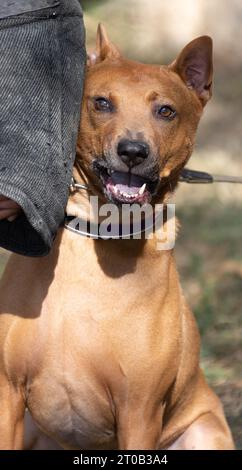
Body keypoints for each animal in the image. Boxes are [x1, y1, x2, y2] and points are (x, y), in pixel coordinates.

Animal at [0, 26, 234, 452]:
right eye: (102, 102)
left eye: (166, 111)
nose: (133, 151)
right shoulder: (8, 394)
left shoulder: (139, 412)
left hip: (204, 431)